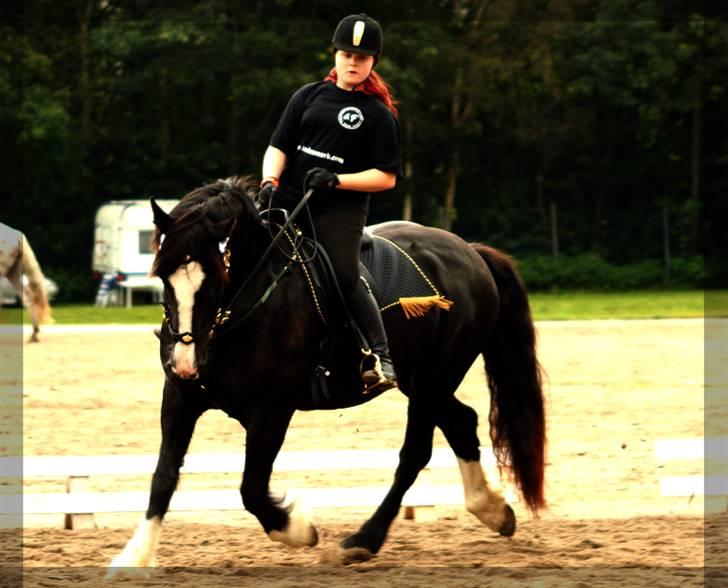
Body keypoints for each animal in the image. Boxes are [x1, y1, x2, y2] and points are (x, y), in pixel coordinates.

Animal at [105, 177, 544, 572]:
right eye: (165, 277)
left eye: (214, 278)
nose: (184, 360)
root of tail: (469, 251)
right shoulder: (181, 398)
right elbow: (163, 477)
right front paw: (134, 557)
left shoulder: (272, 408)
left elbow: (251, 488)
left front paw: (298, 529)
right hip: (422, 380)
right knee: (461, 422)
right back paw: (492, 510)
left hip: (434, 378)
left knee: (415, 453)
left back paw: (363, 541)